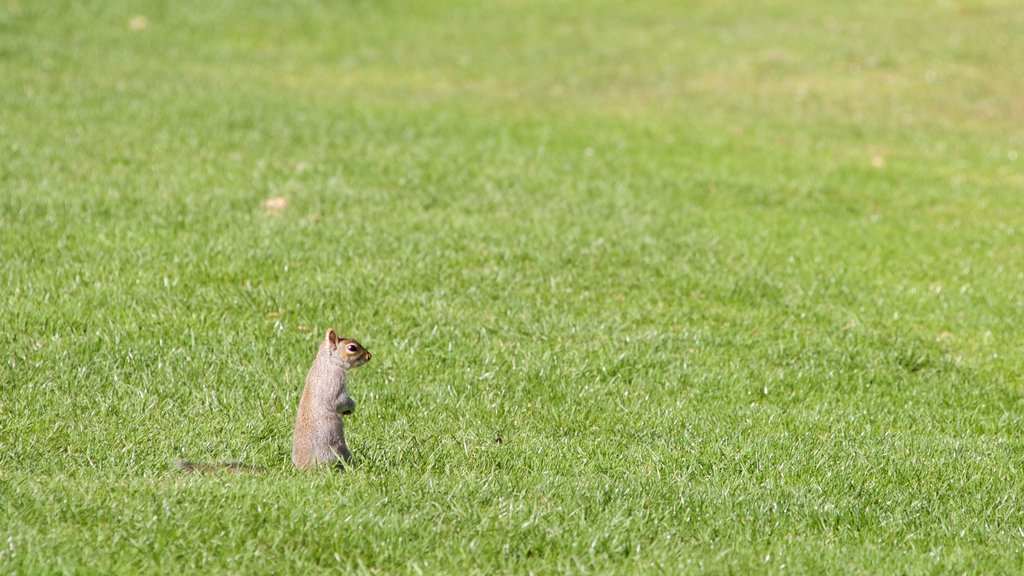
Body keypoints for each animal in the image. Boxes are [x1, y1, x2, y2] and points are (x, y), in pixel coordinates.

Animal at [176, 327, 372, 471]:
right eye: (352, 348)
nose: (369, 356)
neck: (327, 361)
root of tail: (301, 470)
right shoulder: (334, 380)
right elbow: (339, 400)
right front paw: (350, 407)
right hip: (337, 449)